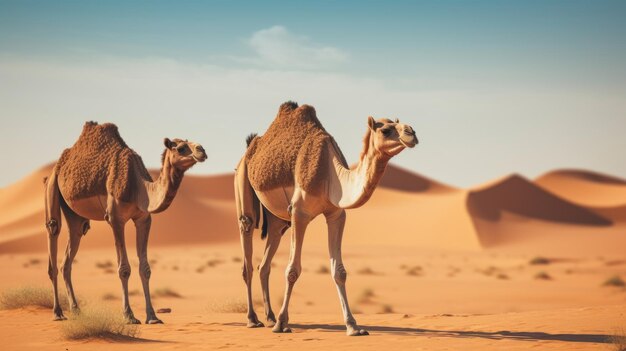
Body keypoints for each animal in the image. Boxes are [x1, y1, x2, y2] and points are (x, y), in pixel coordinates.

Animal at [47, 121, 207, 324]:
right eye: (180, 148)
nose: (202, 150)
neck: (139, 188)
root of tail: (58, 166)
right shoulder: (115, 219)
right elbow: (123, 269)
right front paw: (129, 315)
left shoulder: (143, 219)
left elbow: (145, 269)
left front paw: (152, 317)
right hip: (52, 186)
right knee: (53, 230)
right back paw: (57, 312)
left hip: (75, 216)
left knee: (69, 255)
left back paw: (76, 311)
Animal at [232, 101, 416, 336]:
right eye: (385, 130)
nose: (412, 133)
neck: (331, 175)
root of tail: (250, 148)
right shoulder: (299, 212)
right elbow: (292, 270)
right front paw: (282, 323)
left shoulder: (336, 214)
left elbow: (340, 272)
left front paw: (353, 326)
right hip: (242, 180)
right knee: (246, 240)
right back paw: (253, 319)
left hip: (277, 220)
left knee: (265, 262)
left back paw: (269, 316)